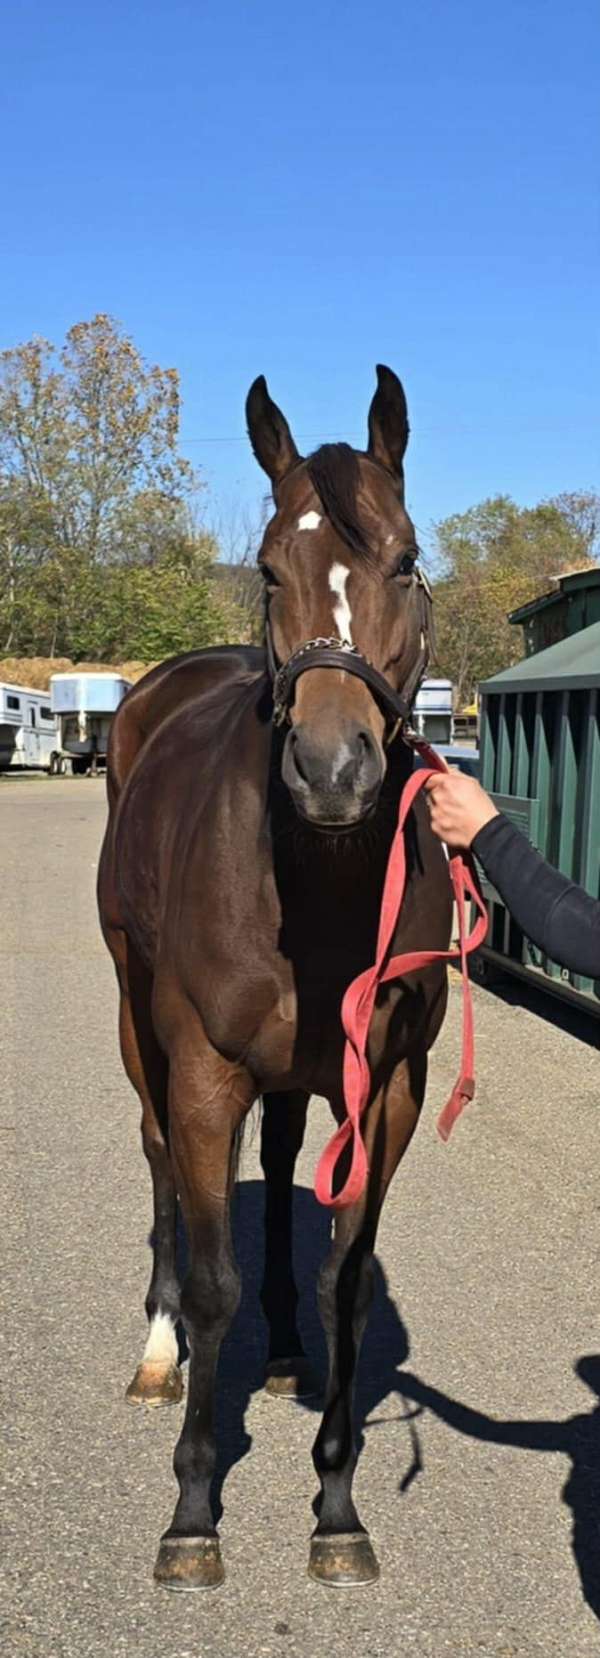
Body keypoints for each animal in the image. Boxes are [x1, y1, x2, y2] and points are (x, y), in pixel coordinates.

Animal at [97, 364, 452, 1591]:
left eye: (405, 559)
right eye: (265, 569)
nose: (334, 769)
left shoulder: (385, 1083)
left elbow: (350, 1276)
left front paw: (336, 1505)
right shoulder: (206, 1070)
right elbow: (214, 1281)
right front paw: (193, 1509)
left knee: (291, 1161)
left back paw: (289, 1347)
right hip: (140, 1028)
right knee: (159, 1159)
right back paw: (159, 1353)